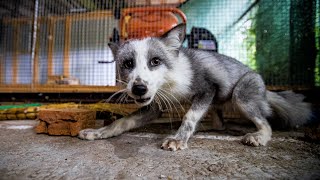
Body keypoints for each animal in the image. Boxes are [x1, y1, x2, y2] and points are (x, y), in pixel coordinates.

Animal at [79, 23, 312, 150]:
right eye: (128, 64)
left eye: (155, 61)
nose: (139, 89)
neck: (170, 83)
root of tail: (266, 89)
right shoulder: (154, 107)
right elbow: (122, 121)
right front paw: (99, 132)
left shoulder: (206, 89)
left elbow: (189, 116)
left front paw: (178, 139)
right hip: (219, 103)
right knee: (219, 124)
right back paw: (207, 127)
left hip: (241, 95)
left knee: (266, 124)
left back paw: (259, 136)